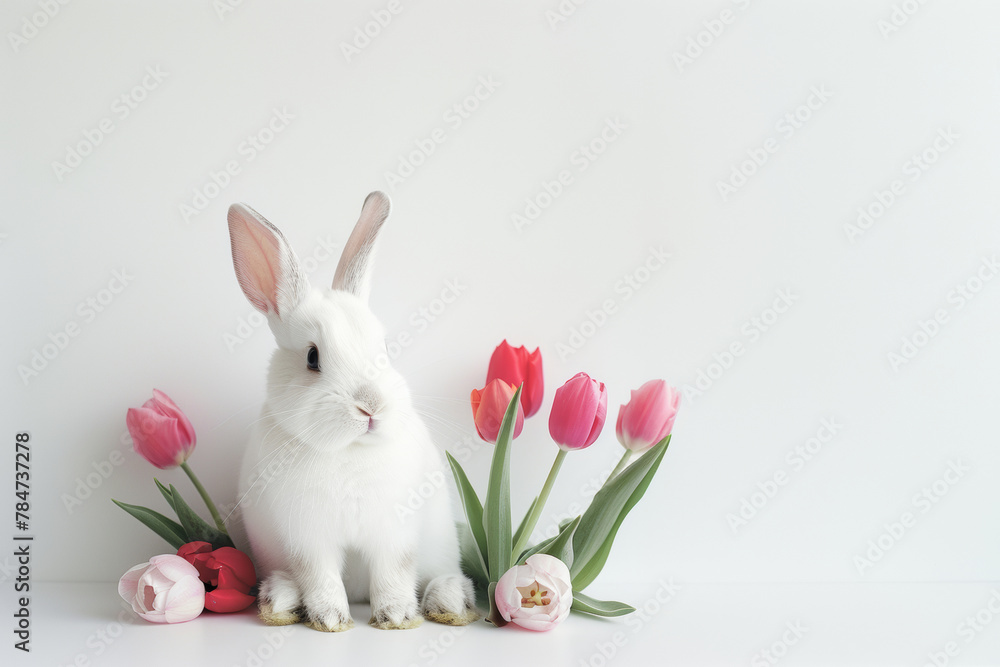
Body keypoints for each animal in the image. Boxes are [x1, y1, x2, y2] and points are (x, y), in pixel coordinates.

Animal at [225, 191, 479, 632]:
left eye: (386, 350)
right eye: (312, 358)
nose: (370, 406)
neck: (350, 450)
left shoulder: (394, 531)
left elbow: (395, 571)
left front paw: (396, 616)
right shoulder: (308, 537)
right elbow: (320, 576)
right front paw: (330, 619)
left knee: (442, 576)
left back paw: (446, 598)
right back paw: (281, 601)